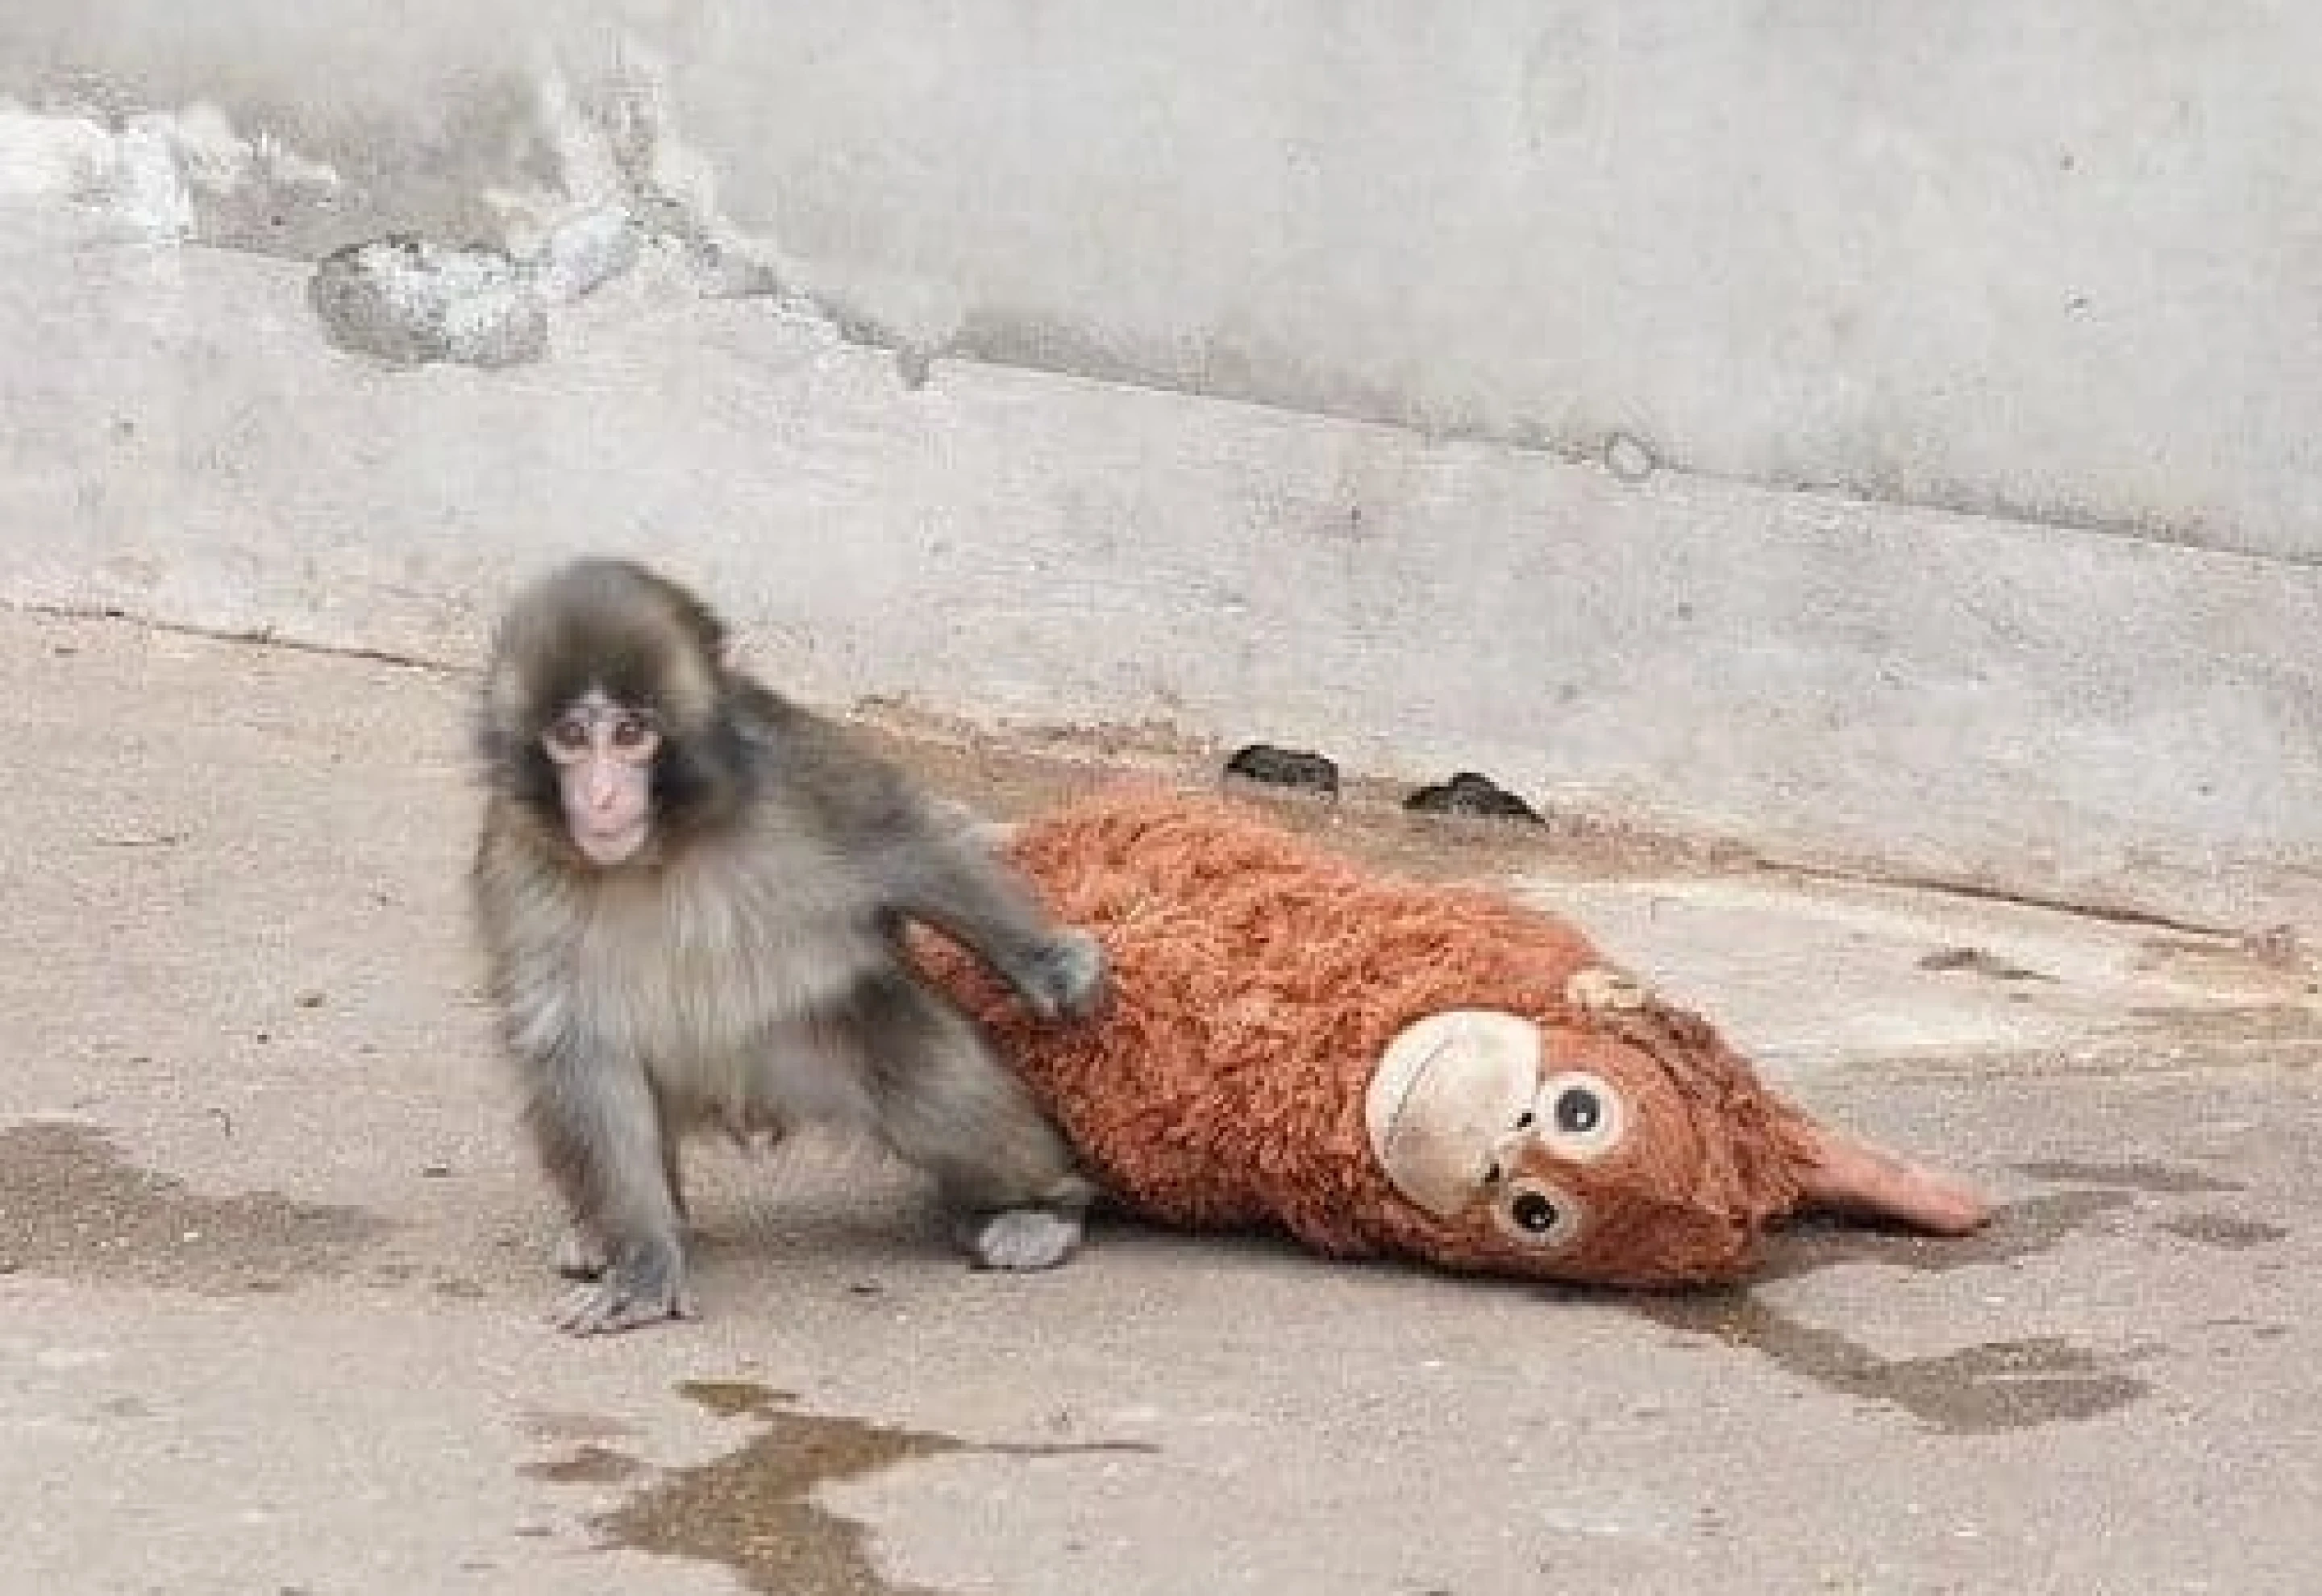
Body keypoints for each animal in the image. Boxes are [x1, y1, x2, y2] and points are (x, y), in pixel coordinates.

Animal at [468, 557, 1108, 1334]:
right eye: (569, 735)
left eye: (628, 734)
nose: (602, 798)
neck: (656, 852)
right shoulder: (517, 866)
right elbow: (577, 1045)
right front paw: (643, 1263)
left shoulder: (795, 777)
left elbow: (902, 847)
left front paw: (1043, 962)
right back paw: (609, 1230)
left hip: (799, 1047)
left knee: (930, 1084)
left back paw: (1042, 1206)